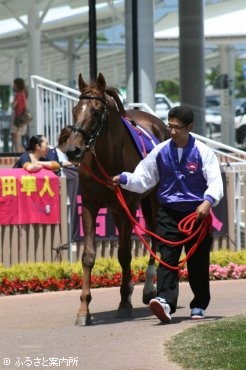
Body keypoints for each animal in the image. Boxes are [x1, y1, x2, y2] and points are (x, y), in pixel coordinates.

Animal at [68, 73, 170, 326]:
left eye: (96, 112)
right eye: (75, 109)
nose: (73, 150)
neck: (107, 158)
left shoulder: (128, 207)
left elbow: (124, 254)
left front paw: (124, 303)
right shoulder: (90, 205)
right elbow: (88, 256)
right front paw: (84, 309)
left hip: (152, 200)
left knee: (155, 237)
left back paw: (149, 288)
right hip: (117, 208)